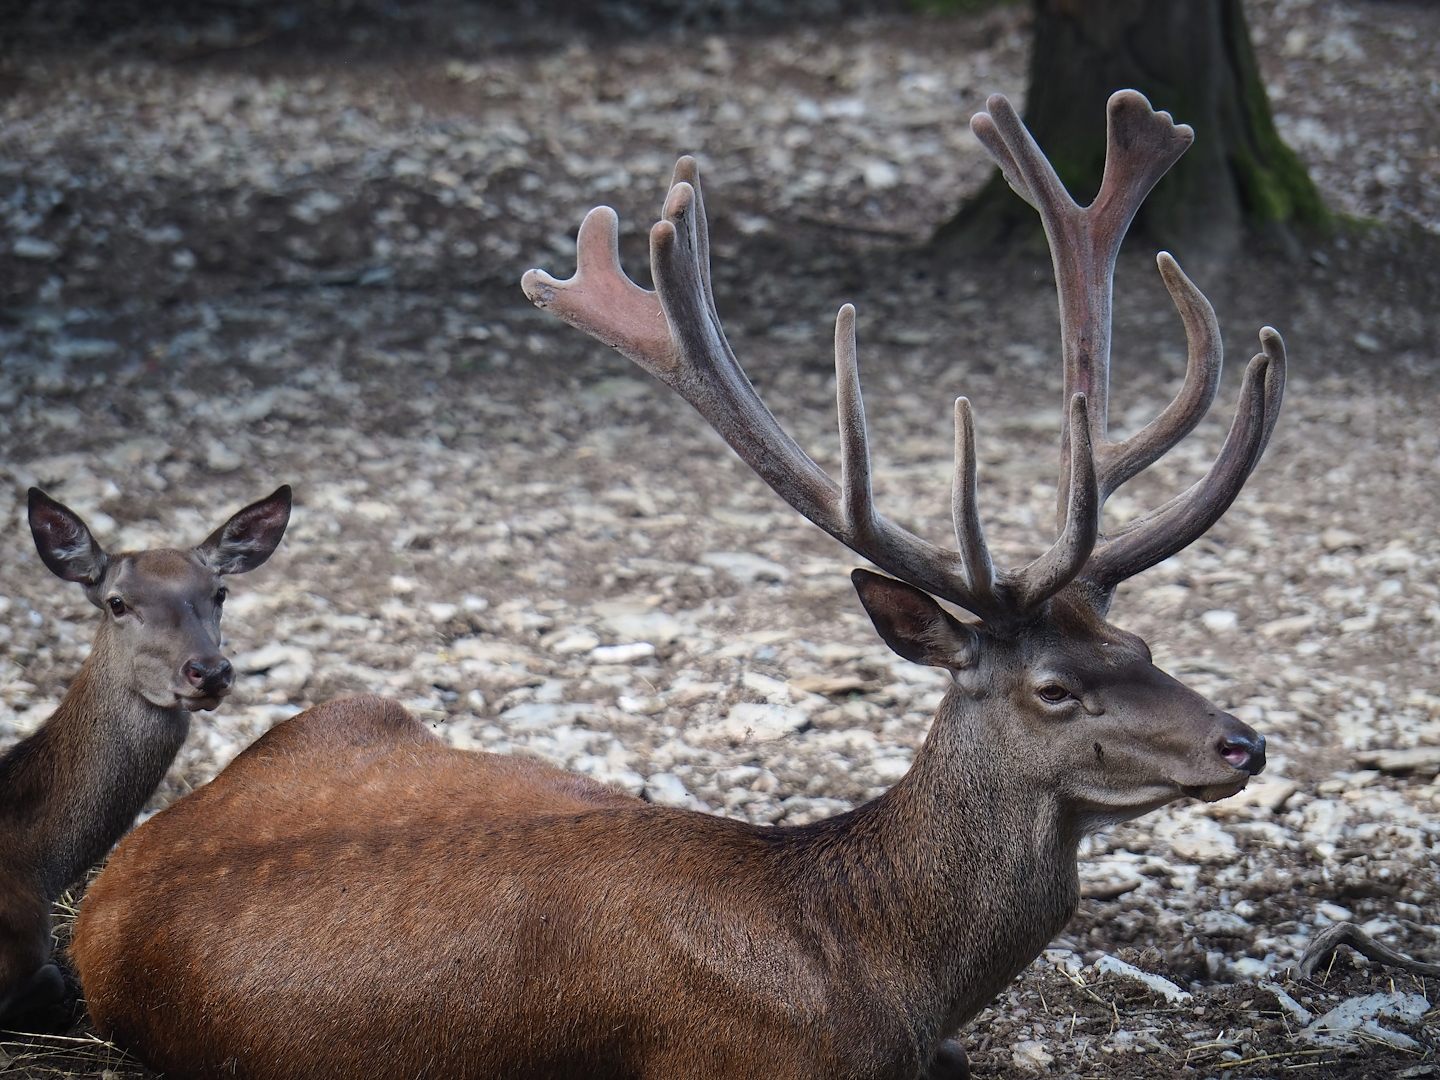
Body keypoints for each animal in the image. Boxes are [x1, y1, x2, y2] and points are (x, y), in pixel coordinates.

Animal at [70, 90, 1281, 1080]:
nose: (1243, 743)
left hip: (357, 709)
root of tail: (115, 873)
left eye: (1144, 649)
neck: (873, 965)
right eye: (1055, 690)